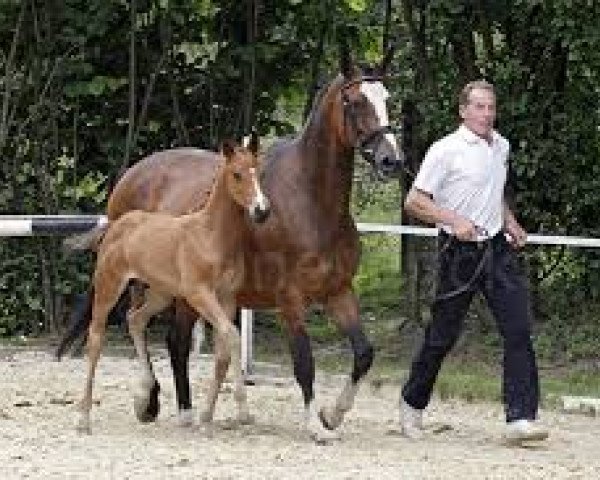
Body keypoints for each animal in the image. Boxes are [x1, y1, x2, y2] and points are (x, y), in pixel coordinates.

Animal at [71, 136, 270, 436]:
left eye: (259, 172)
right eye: (237, 174)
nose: (262, 210)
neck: (210, 235)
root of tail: (116, 224)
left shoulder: (227, 298)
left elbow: (224, 347)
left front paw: (207, 416)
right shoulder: (200, 294)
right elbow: (232, 335)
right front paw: (242, 411)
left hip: (160, 294)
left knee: (135, 319)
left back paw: (145, 397)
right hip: (110, 285)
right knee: (95, 339)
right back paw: (84, 418)